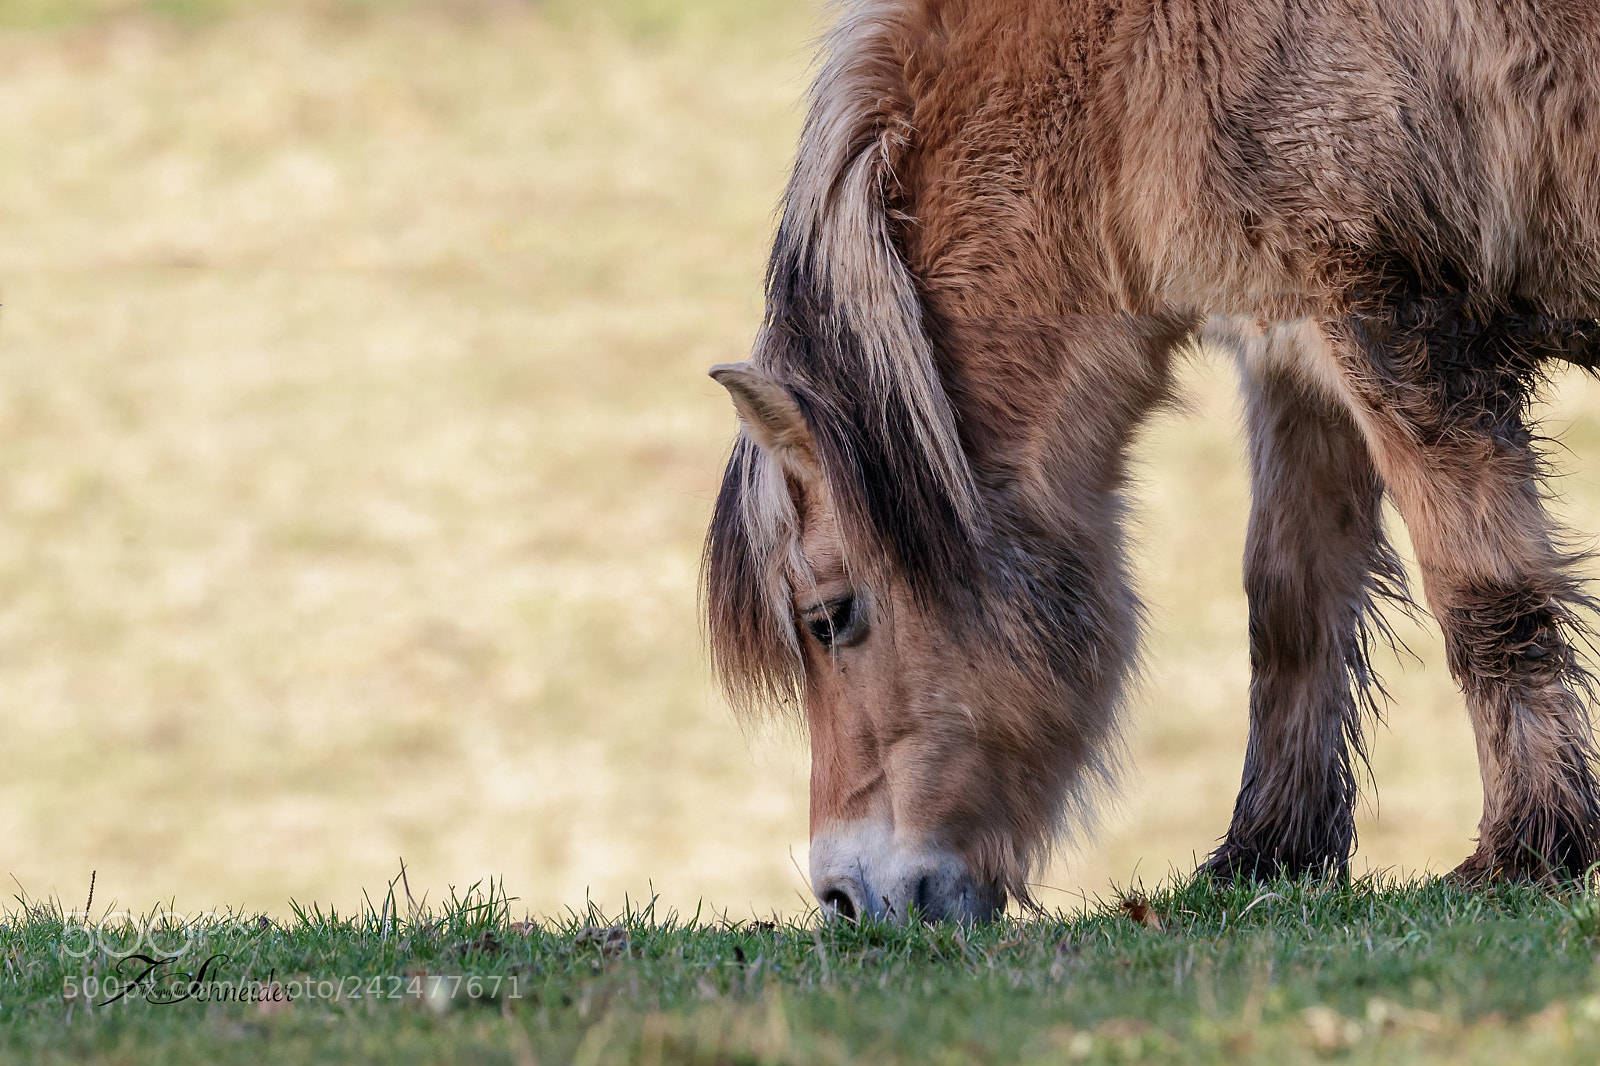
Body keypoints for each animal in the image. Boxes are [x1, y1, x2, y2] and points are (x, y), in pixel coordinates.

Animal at [704, 0, 1600, 922]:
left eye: (829, 616)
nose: (843, 898)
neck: (1121, 68)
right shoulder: (1291, 352)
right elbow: (1292, 602)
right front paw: (1267, 853)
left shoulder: (1393, 327)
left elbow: (1486, 598)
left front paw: (1529, 849)